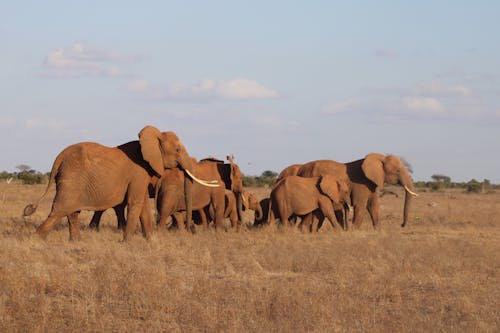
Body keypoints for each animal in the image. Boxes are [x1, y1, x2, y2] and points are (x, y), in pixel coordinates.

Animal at [23, 124, 217, 239]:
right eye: (177, 150)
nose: (192, 229)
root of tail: (59, 157)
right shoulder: (139, 172)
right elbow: (135, 203)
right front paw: (127, 241)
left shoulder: (141, 176)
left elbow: (143, 206)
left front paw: (149, 241)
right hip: (72, 178)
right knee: (60, 210)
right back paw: (35, 240)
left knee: (72, 212)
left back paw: (75, 242)